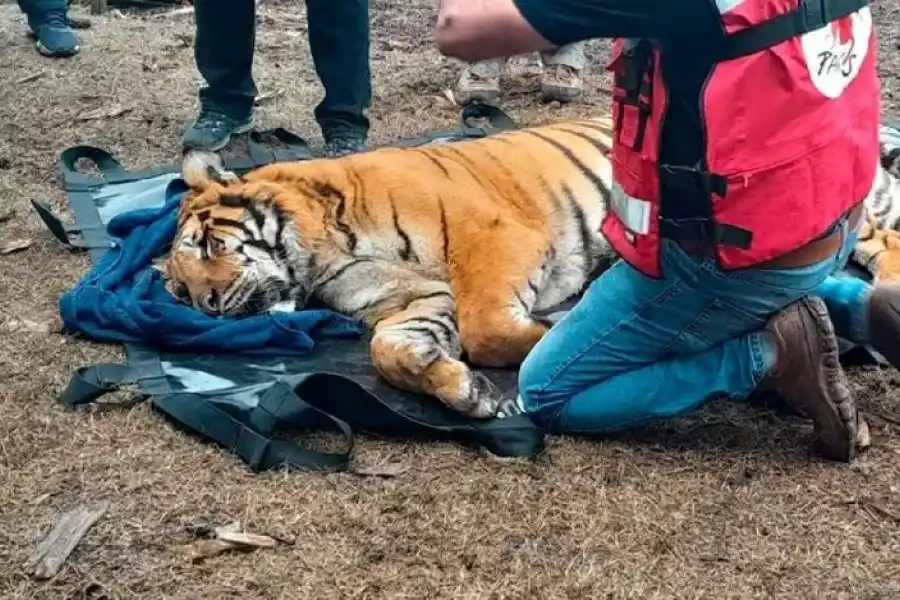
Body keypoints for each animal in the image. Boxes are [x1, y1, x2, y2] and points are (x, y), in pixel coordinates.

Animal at [155, 117, 900, 420]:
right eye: (181, 292)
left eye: (209, 248)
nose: (210, 307)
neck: (321, 254)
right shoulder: (410, 303)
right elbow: (392, 350)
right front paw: (463, 392)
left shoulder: (494, 238)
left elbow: (490, 327)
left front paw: (553, 334)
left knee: (881, 236)